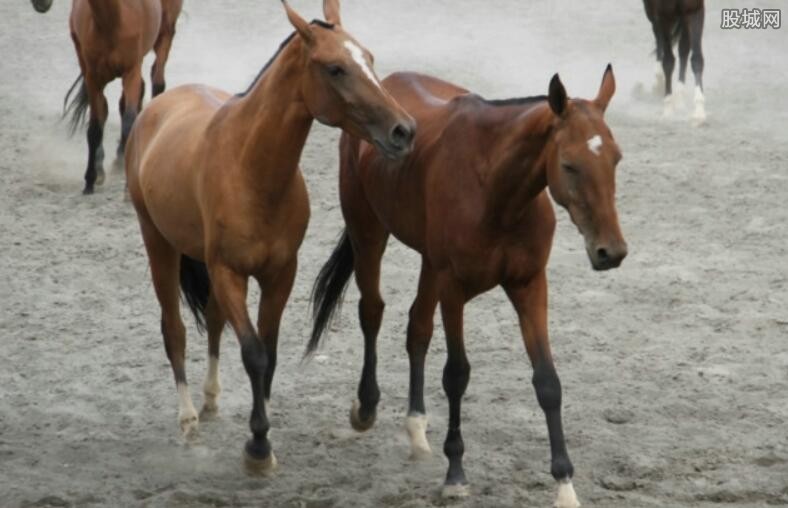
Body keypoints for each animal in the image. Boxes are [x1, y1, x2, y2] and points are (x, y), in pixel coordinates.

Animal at [63, 0, 182, 194]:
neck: (110, 22)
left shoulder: (131, 70)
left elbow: (128, 120)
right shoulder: (92, 76)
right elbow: (95, 126)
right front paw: (90, 179)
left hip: (165, 30)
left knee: (157, 80)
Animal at [124, 0, 412, 476]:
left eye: (368, 58)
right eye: (335, 68)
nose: (404, 131)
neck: (250, 169)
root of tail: (158, 106)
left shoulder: (280, 274)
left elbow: (269, 352)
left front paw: (264, 429)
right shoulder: (229, 272)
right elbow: (254, 353)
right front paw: (257, 447)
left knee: (214, 320)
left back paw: (211, 400)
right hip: (157, 243)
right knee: (175, 330)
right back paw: (188, 421)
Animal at [308, 65, 628, 506]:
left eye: (616, 158)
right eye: (569, 164)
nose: (611, 251)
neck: (496, 191)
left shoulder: (529, 285)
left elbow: (547, 381)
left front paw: (565, 485)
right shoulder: (453, 289)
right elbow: (456, 374)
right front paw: (456, 473)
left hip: (428, 263)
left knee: (417, 328)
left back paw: (416, 428)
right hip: (368, 232)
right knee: (372, 311)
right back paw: (366, 408)